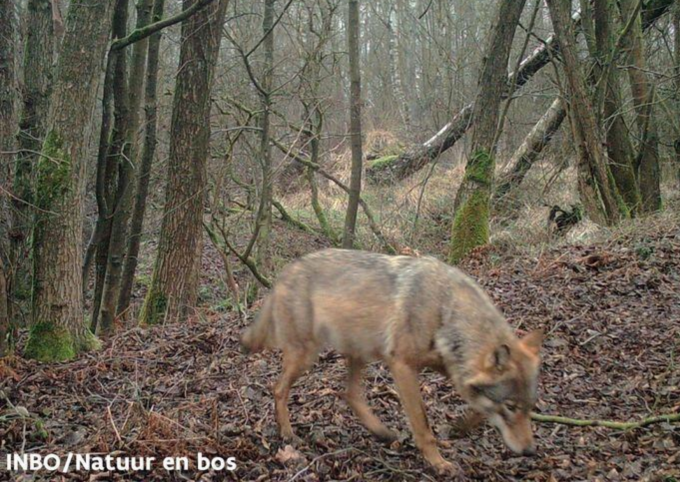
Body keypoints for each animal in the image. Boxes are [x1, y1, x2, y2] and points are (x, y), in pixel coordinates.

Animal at [240, 250, 540, 472]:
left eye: (529, 407)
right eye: (511, 407)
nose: (529, 452)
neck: (445, 309)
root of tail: (285, 271)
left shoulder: (449, 368)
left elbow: (477, 408)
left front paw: (458, 428)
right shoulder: (403, 366)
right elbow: (423, 424)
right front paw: (438, 463)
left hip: (358, 353)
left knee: (350, 395)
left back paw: (382, 432)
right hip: (307, 355)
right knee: (279, 389)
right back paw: (288, 434)